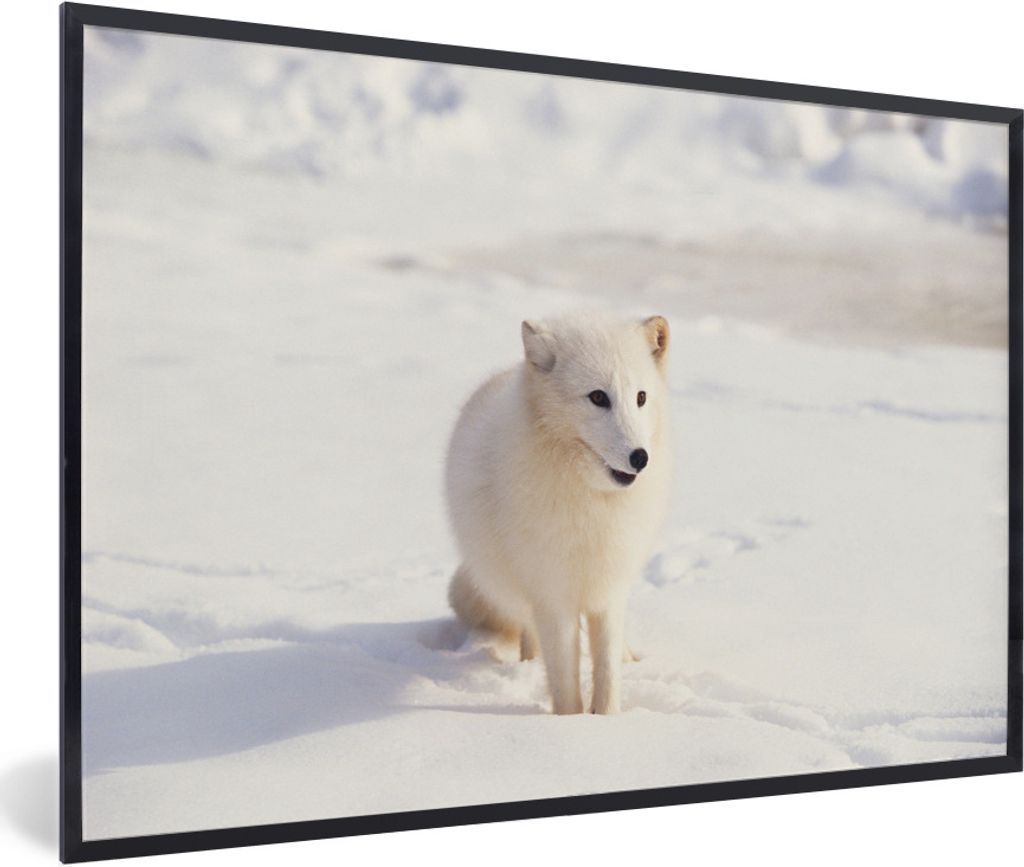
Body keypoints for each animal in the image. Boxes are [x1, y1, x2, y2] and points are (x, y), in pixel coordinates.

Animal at [445, 314, 672, 714]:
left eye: (641, 398)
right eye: (598, 397)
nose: (640, 457)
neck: (593, 505)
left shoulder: (608, 588)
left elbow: (607, 668)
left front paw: (609, 718)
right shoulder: (552, 596)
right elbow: (565, 678)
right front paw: (569, 722)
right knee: (529, 631)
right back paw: (530, 662)